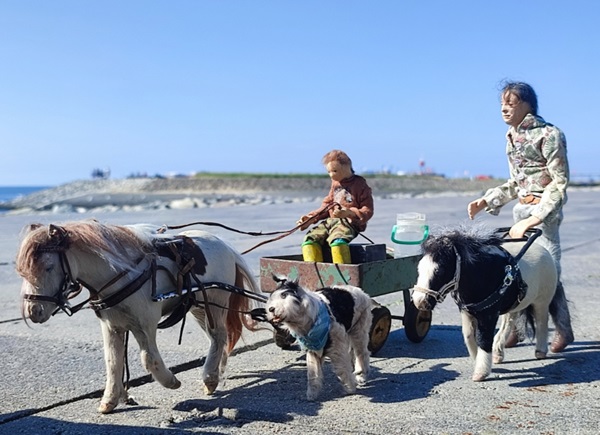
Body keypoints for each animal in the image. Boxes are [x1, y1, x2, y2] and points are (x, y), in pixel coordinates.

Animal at [16, 220, 262, 413]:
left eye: (48, 267)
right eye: (22, 271)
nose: (33, 312)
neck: (120, 274)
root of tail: (224, 244)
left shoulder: (145, 324)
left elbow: (149, 359)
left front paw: (170, 381)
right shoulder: (112, 326)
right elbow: (112, 360)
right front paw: (110, 399)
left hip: (215, 300)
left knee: (219, 335)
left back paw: (209, 377)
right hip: (199, 307)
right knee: (217, 338)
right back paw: (214, 375)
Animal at [411, 226, 557, 381]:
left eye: (439, 270)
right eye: (419, 268)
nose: (420, 301)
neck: (483, 273)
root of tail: (544, 251)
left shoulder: (489, 314)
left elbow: (483, 339)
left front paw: (481, 372)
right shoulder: (467, 311)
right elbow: (468, 335)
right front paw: (478, 360)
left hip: (542, 301)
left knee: (541, 321)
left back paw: (540, 351)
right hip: (513, 305)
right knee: (509, 322)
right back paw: (498, 353)